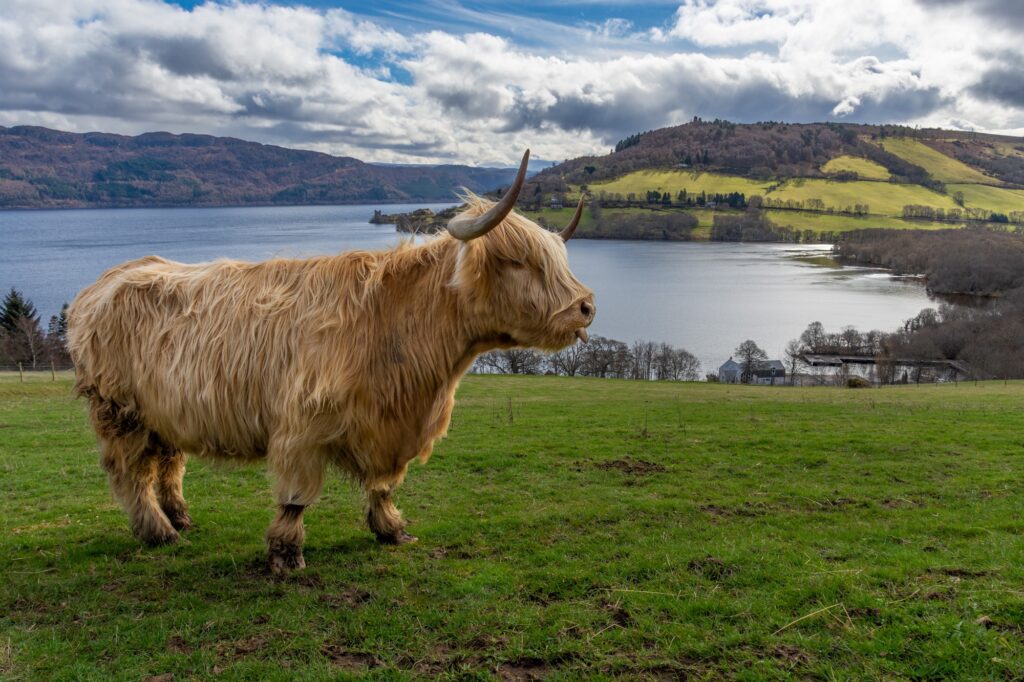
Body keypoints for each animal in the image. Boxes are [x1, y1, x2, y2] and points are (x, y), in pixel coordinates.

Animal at [68, 151, 598, 569]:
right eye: (519, 261)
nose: (586, 306)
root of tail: (106, 280)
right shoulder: (300, 427)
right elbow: (296, 496)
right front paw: (286, 554)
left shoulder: (389, 425)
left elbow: (383, 486)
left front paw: (393, 530)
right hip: (120, 411)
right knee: (131, 473)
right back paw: (159, 533)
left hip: (163, 413)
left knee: (168, 465)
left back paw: (180, 517)